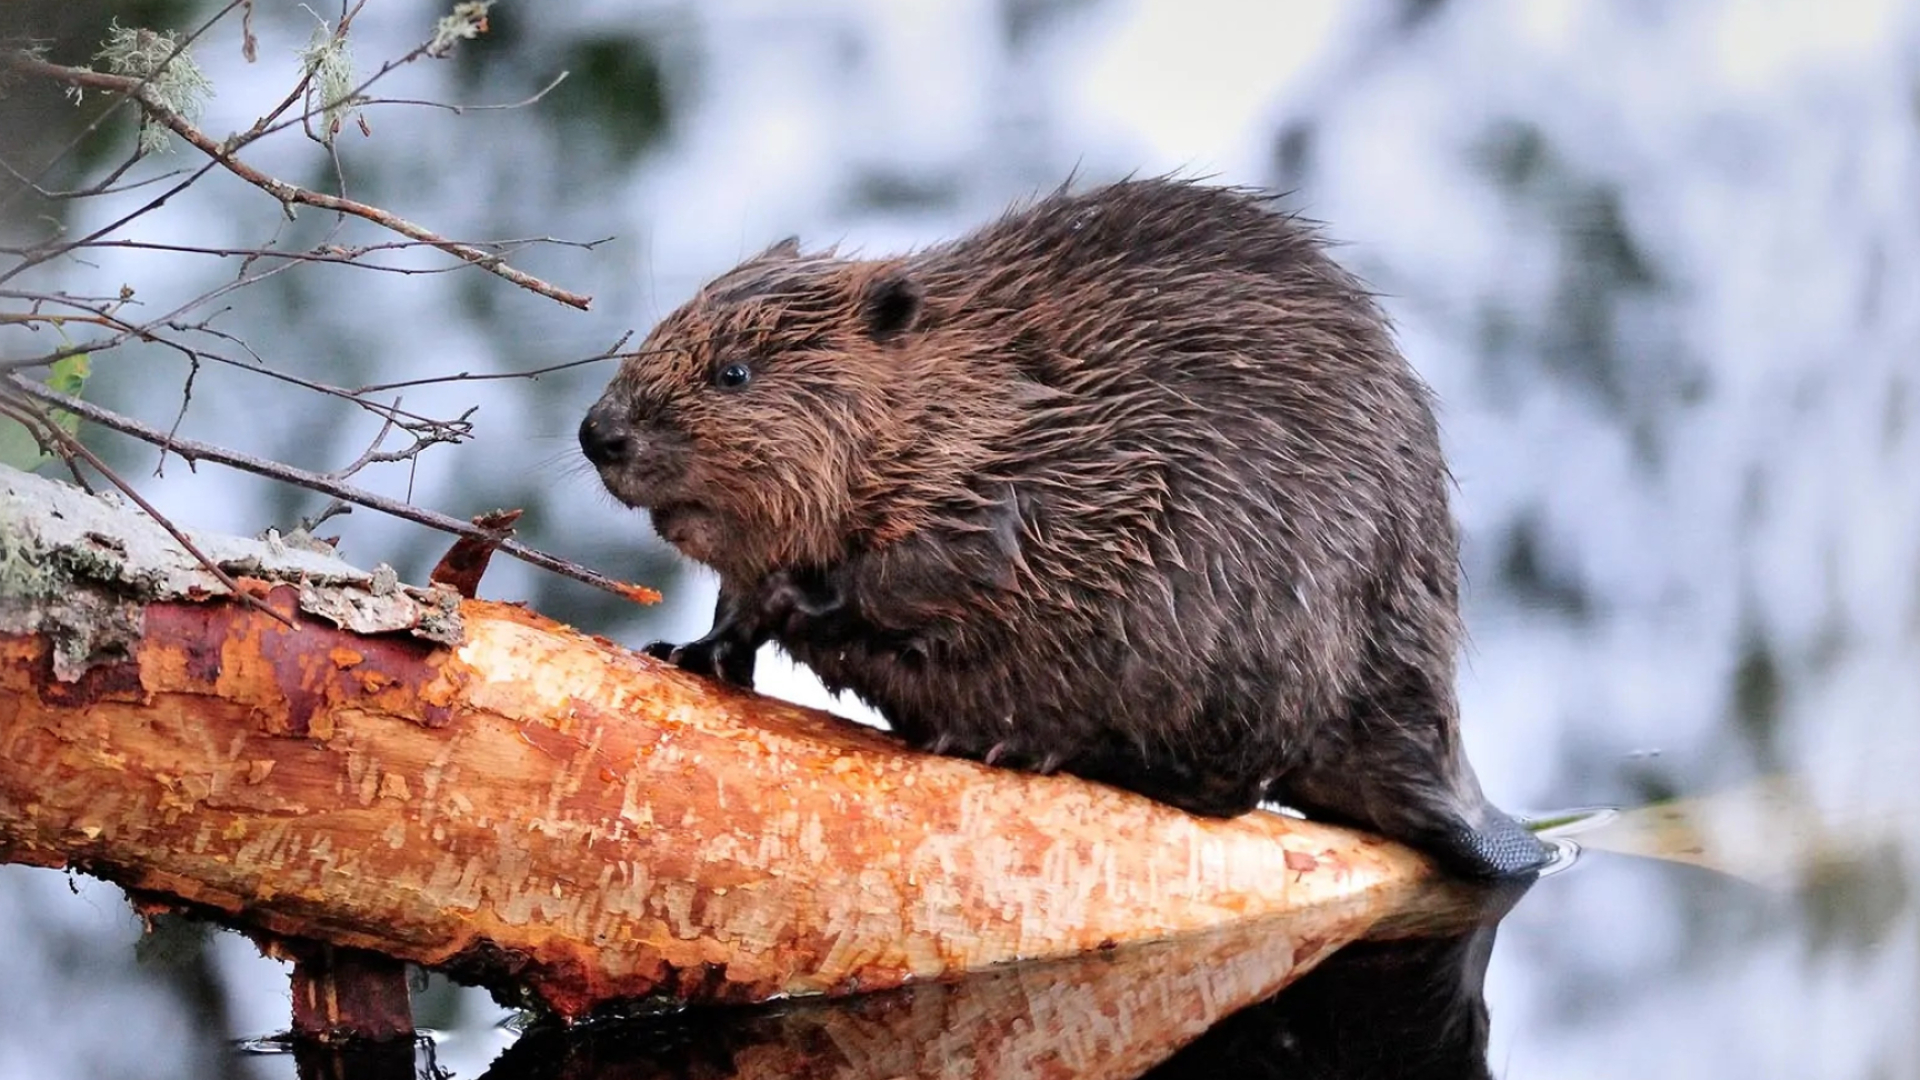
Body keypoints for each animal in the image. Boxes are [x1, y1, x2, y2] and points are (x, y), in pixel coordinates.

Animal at [576, 178, 1551, 876]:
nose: (599, 433)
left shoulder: (1078, 469)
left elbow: (963, 564)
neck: (982, 389)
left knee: (1228, 784)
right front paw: (695, 648)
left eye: (734, 373)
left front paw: (803, 602)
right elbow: (738, 593)